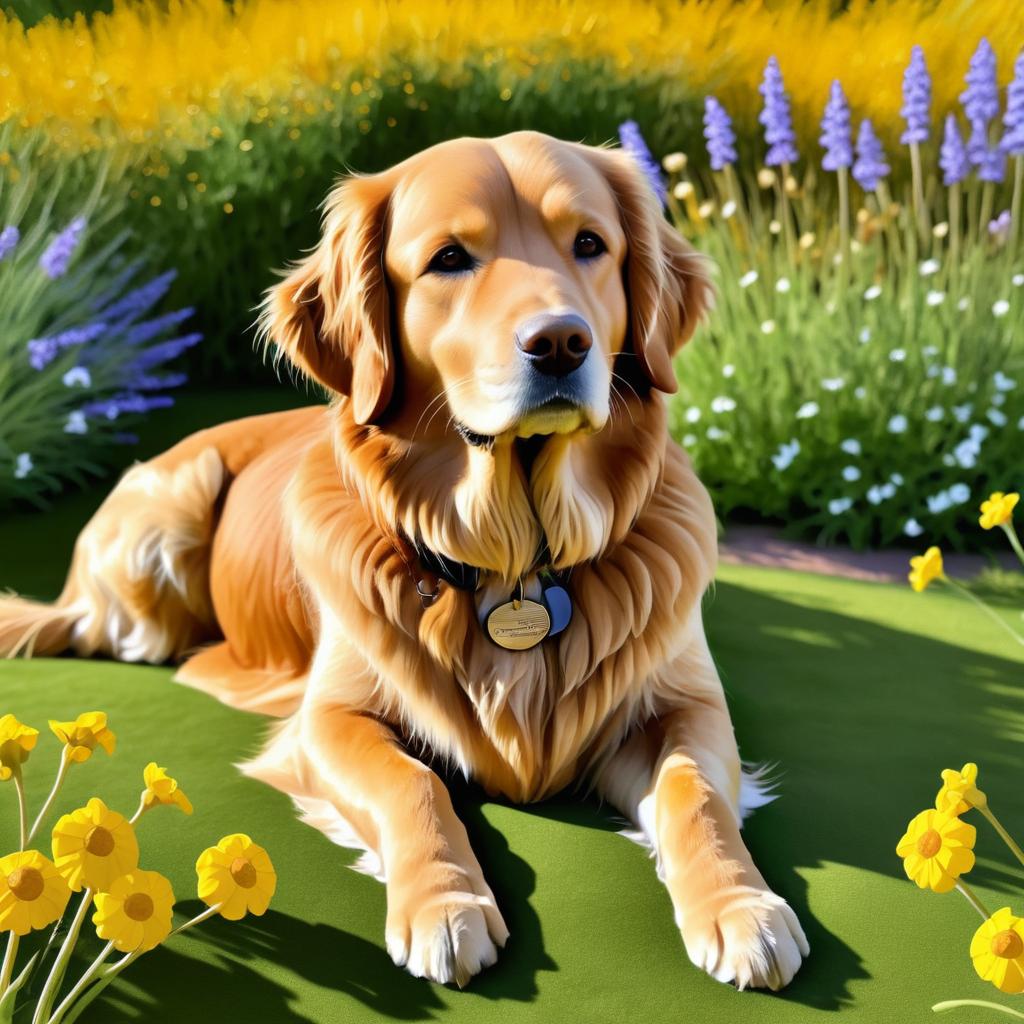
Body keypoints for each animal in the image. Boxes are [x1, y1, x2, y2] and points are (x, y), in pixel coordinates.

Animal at [4, 130, 811, 991]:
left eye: (591, 244)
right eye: (450, 259)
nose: (561, 342)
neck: (516, 558)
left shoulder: (686, 707)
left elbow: (696, 793)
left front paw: (742, 906)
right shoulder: (330, 721)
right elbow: (413, 782)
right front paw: (445, 905)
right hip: (163, 523)